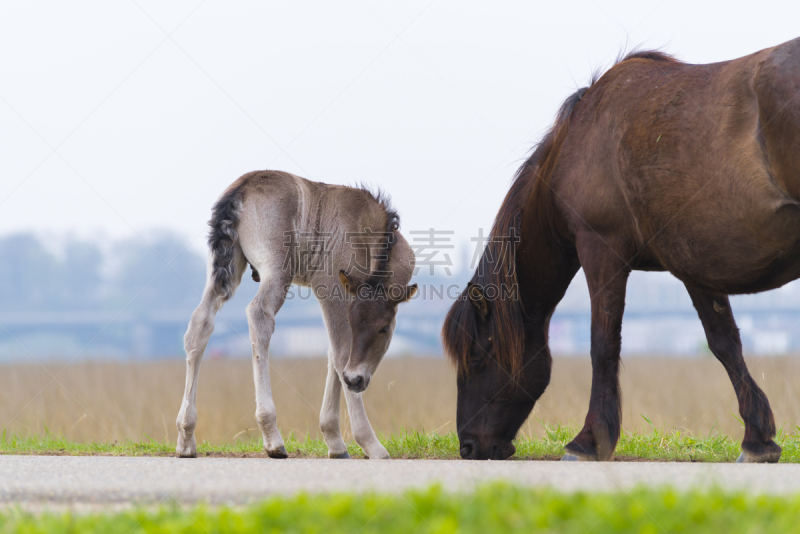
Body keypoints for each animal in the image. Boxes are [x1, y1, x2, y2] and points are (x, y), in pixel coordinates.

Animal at [173, 173, 412, 460]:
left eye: (383, 329)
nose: (356, 380)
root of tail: (241, 187)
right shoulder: (330, 286)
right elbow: (341, 353)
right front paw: (370, 443)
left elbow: (332, 354)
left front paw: (335, 441)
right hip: (277, 269)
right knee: (259, 315)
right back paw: (272, 437)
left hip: (224, 268)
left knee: (200, 323)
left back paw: (186, 436)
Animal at [444, 38, 800, 464]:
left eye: (477, 357)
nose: (468, 446)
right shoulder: (694, 264)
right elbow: (724, 343)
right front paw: (758, 437)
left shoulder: (600, 249)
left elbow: (603, 344)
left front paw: (588, 440)